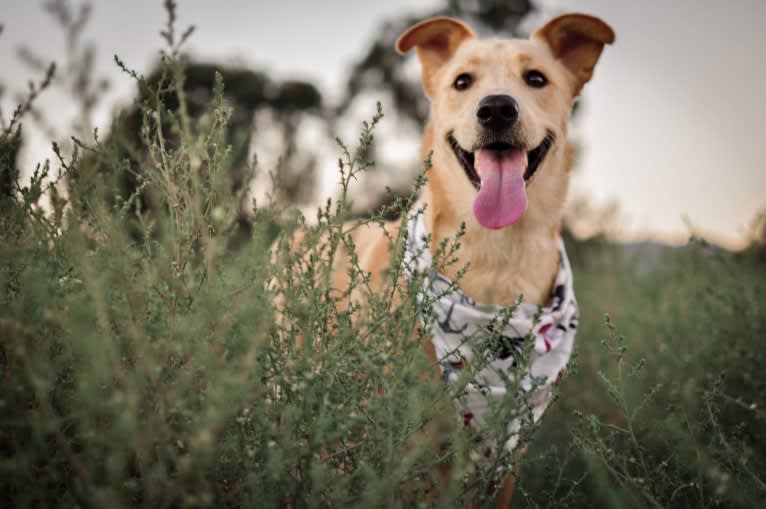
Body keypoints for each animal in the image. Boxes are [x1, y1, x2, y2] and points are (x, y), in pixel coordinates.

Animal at [308, 11, 616, 508]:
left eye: (536, 78)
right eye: (462, 81)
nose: (496, 108)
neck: (497, 256)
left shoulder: (507, 450)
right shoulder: (408, 446)